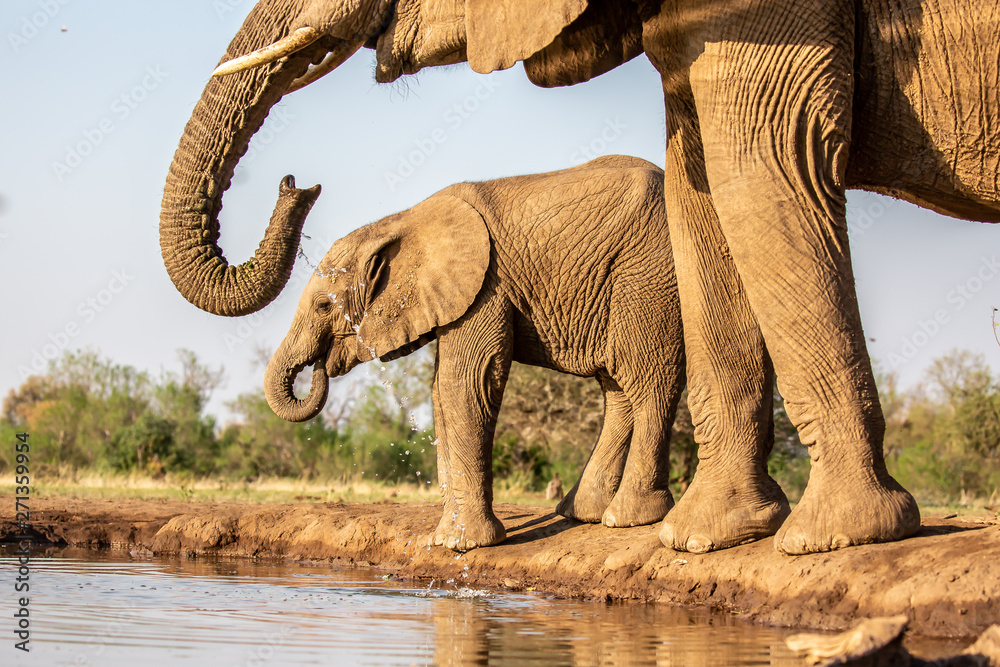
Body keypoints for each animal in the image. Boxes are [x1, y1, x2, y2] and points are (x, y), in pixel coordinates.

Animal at [264, 156, 687, 550]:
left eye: (323, 306)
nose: (319, 366)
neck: (402, 221)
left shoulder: (486, 283)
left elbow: (466, 382)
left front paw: (463, 544)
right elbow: (440, 391)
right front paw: (446, 539)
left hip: (649, 271)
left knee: (648, 378)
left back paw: (627, 517)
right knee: (617, 388)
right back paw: (581, 512)